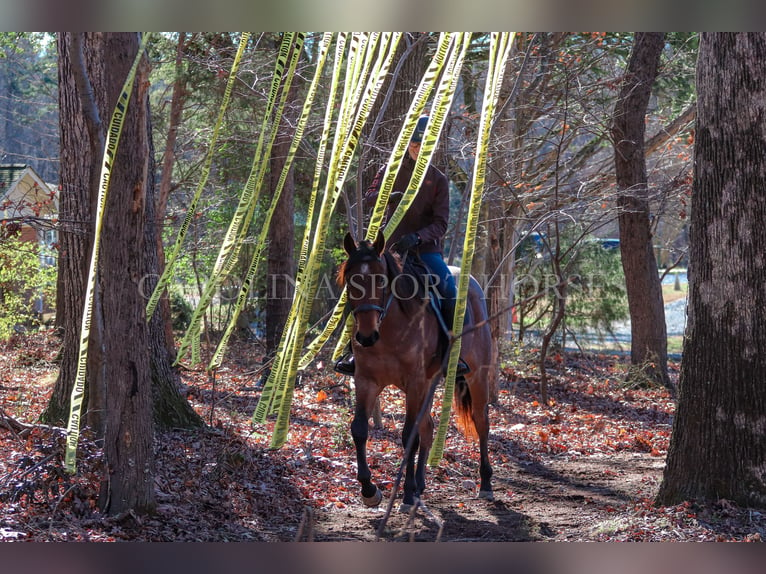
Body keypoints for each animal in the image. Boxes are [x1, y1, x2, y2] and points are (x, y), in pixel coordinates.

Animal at [340, 232, 496, 510]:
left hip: (476, 377)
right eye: (350, 280)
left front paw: (407, 493)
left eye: (381, 279)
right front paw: (370, 490)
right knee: (429, 426)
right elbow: (359, 429)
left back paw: (485, 484)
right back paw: (421, 485)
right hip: (429, 383)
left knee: (481, 422)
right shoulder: (366, 380)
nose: (366, 336)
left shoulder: (414, 383)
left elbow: (408, 437)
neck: (390, 331)